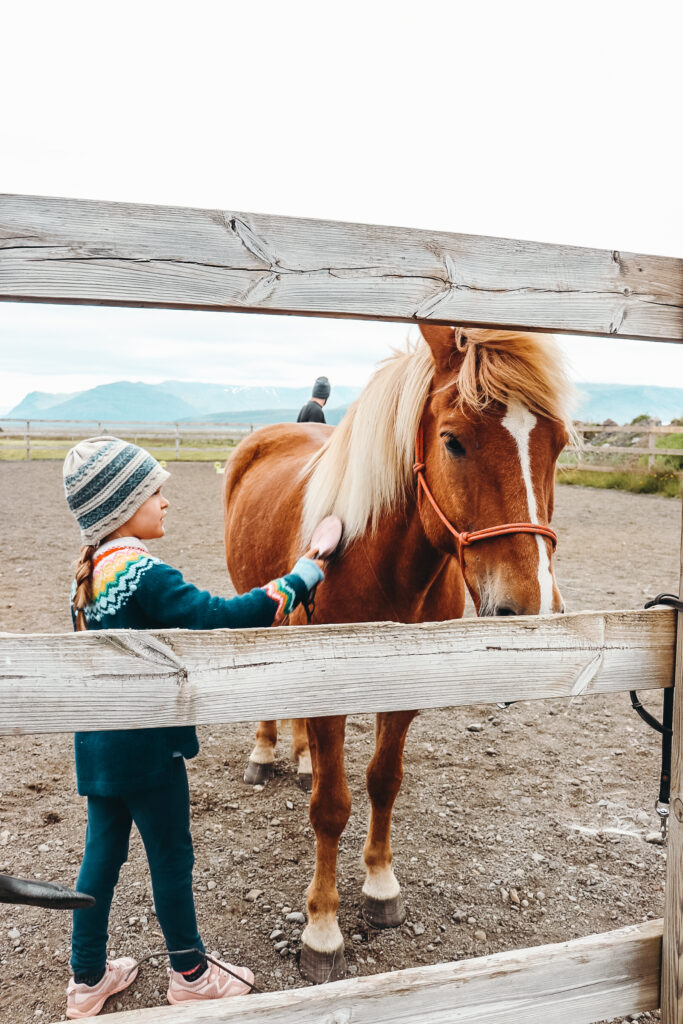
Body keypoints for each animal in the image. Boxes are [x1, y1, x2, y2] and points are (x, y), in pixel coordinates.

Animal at [224, 323, 573, 978]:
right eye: (453, 441)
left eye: (559, 444)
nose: (530, 609)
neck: (380, 565)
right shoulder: (329, 689)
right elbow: (330, 806)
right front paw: (323, 928)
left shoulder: (407, 689)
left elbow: (384, 781)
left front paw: (381, 886)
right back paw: (265, 752)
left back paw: (302, 756)